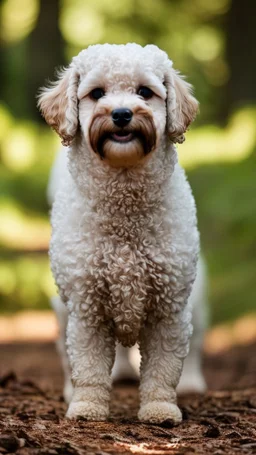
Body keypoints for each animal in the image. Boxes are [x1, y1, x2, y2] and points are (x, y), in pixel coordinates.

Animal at [38, 44, 206, 426]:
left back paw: (190, 382)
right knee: (67, 353)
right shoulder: (87, 307)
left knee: (194, 348)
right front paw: (87, 407)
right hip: (62, 309)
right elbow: (88, 367)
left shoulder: (169, 308)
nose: (121, 114)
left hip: (196, 299)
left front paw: (160, 409)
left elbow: (163, 368)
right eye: (96, 93)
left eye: (145, 92)